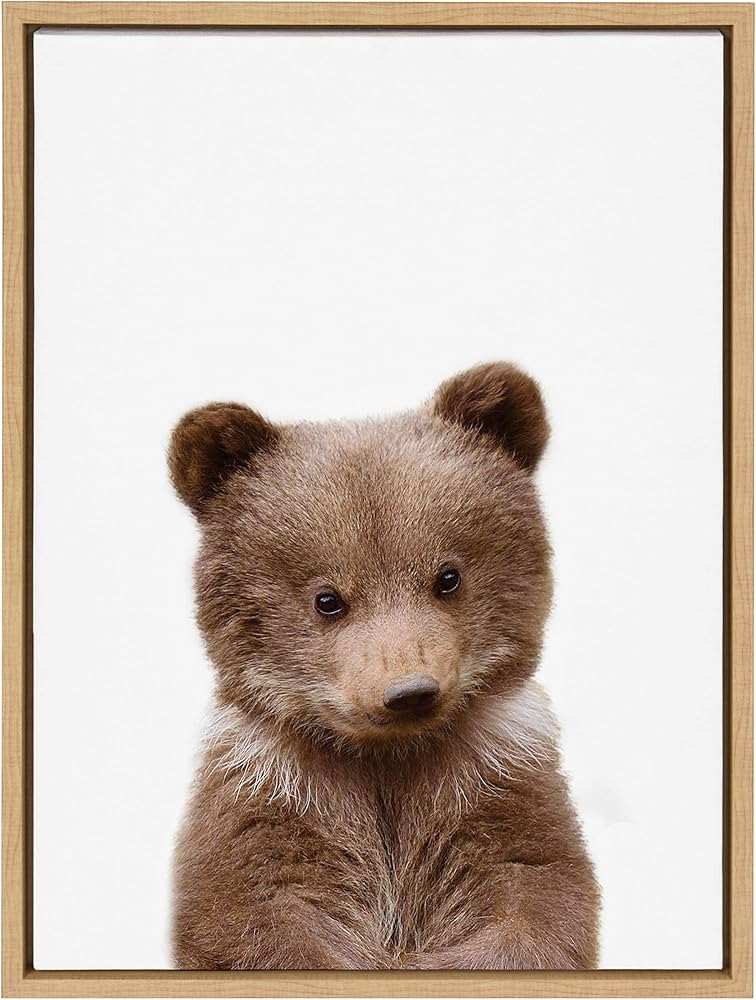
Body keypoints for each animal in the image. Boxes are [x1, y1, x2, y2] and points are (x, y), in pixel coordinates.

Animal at [168, 361, 599, 971]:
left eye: (449, 576)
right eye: (327, 599)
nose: (410, 691)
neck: (386, 759)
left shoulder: (497, 782)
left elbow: (534, 898)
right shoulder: (271, 794)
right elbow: (252, 918)